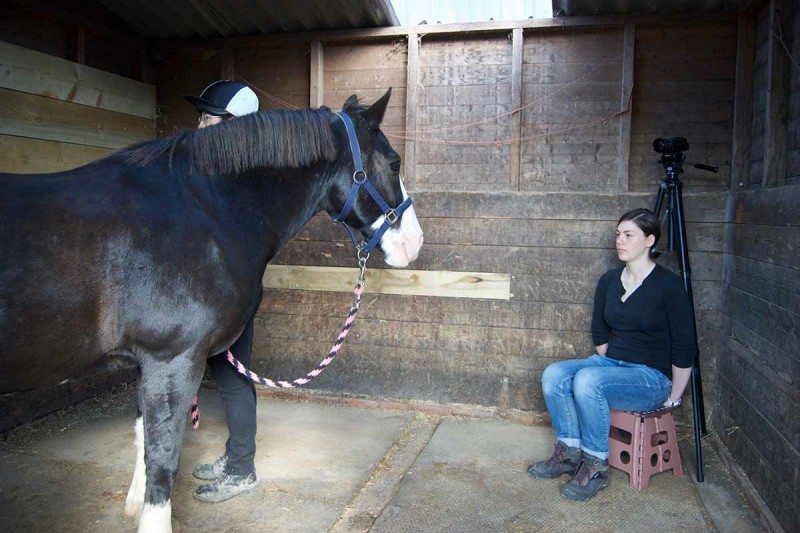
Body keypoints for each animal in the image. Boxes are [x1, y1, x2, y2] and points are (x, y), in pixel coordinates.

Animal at [0, 89, 422, 528]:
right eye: (394, 162)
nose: (414, 242)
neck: (202, 210)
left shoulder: (148, 361)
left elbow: (143, 434)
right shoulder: (172, 358)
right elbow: (163, 458)